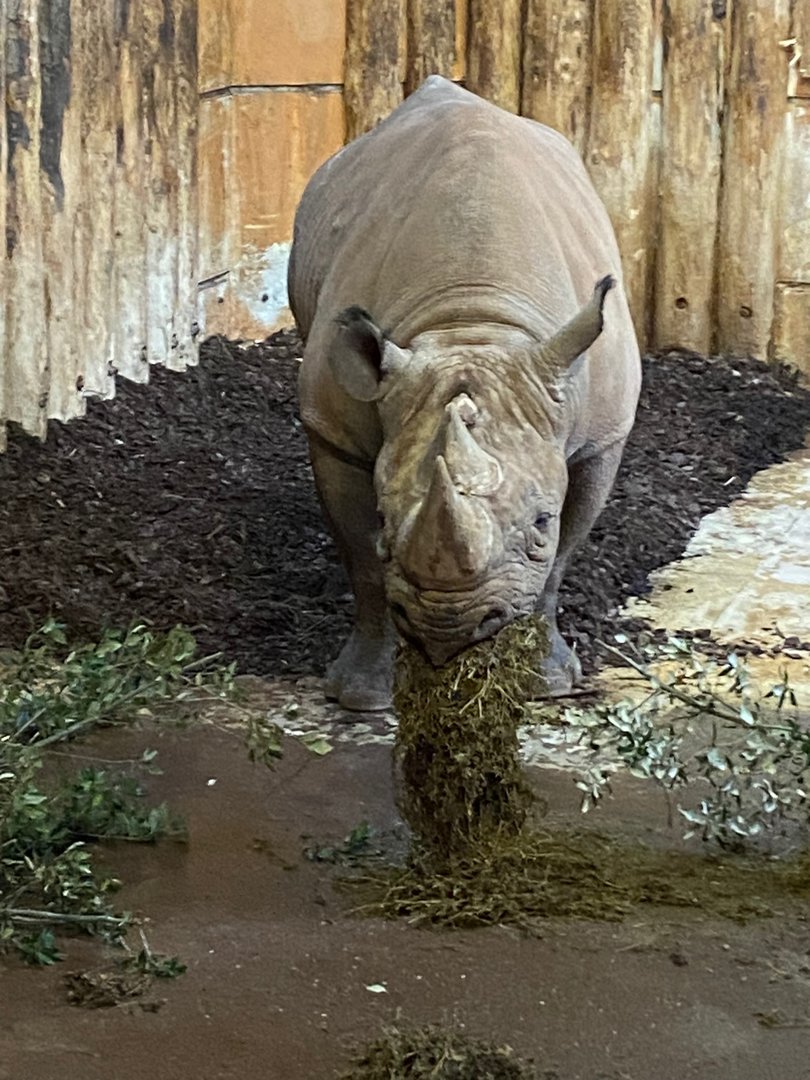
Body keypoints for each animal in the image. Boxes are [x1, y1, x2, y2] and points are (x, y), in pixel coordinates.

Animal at [288, 76, 641, 711]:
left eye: (541, 521)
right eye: (385, 515)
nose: (449, 627)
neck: (472, 323)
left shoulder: (604, 434)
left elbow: (560, 560)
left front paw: (547, 684)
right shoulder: (331, 429)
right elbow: (364, 560)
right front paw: (361, 696)